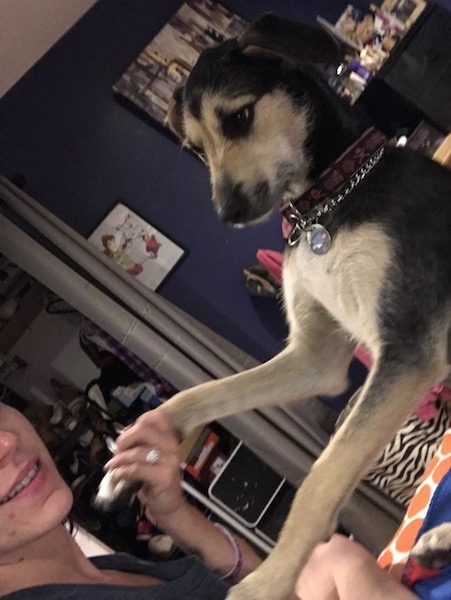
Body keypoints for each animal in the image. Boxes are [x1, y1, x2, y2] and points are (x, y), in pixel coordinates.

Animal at [98, 14, 448, 600]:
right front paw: (132, 459)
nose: (228, 212)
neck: (329, 202)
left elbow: (320, 481)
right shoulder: (318, 358)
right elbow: (201, 394)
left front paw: (269, 583)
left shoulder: (407, 350)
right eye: (196, 148)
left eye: (239, 116)